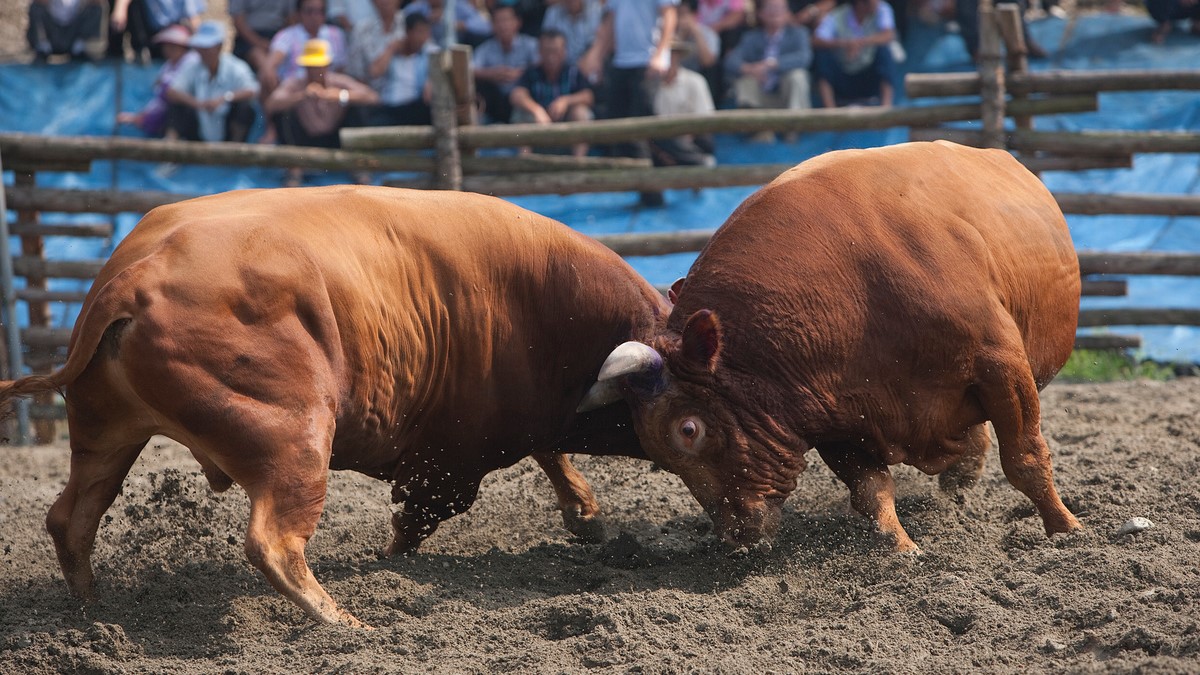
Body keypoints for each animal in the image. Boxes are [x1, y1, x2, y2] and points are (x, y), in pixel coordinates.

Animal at [0, 184, 667, 624]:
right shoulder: (453, 461)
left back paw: (91, 611)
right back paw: (342, 622)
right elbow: (422, 516)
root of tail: (130, 278)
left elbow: (551, 452)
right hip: (295, 438)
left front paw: (585, 514)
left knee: (71, 518)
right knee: (272, 542)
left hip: (106, 433)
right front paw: (390, 562)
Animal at [592, 140, 1089, 552]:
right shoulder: (833, 418)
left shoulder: (1001, 365)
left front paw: (1066, 530)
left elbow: (1025, 458)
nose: (734, 536)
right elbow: (872, 492)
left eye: (688, 429)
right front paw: (901, 551)